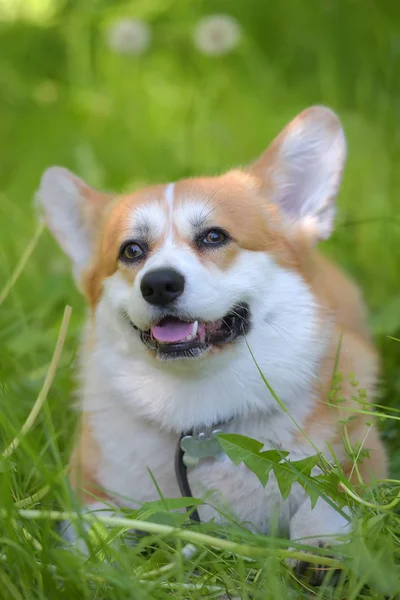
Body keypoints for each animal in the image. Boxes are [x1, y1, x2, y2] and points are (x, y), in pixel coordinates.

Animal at [37, 105, 388, 568]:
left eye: (214, 236)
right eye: (132, 251)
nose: (159, 284)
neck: (199, 418)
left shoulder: (359, 464)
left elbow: (325, 503)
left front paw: (318, 552)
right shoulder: (91, 486)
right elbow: (93, 538)